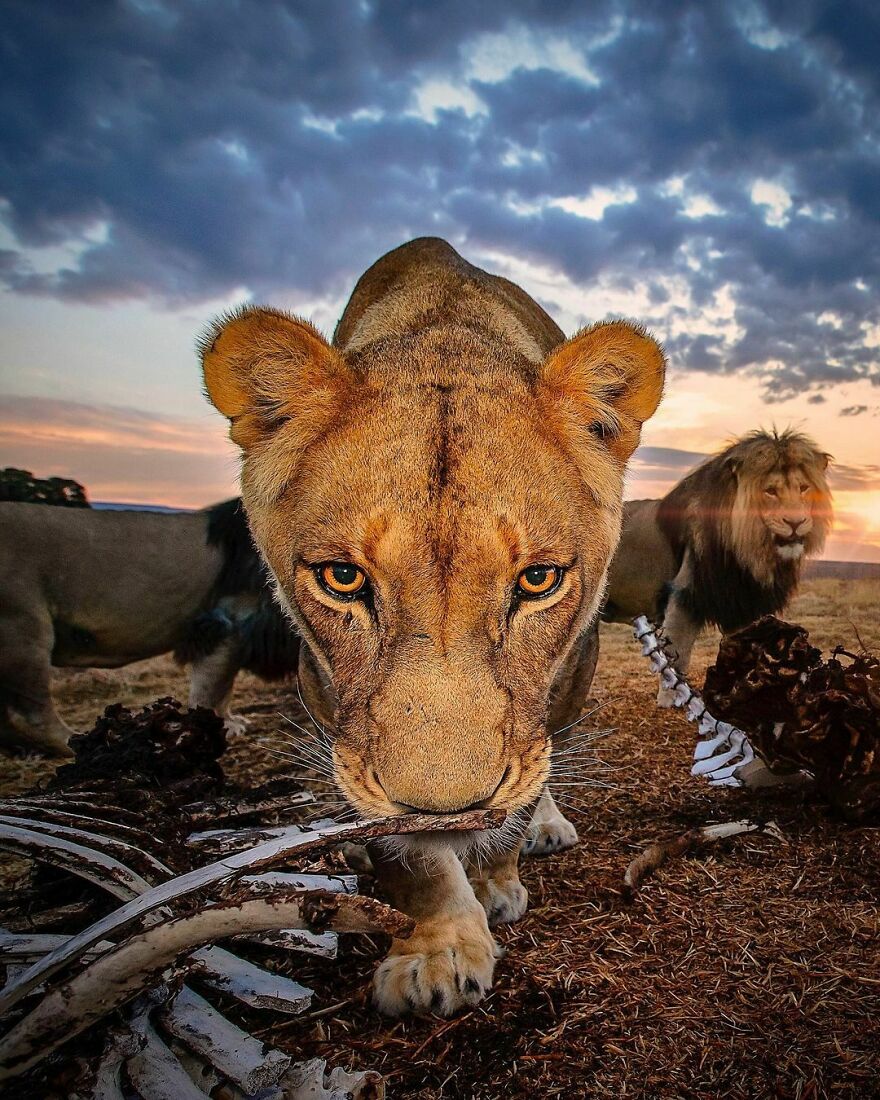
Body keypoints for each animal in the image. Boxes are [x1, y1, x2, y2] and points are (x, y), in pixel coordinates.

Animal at [0, 498, 298, 757]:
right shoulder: (225, 622)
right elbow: (214, 686)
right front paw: (220, 725)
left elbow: (221, 686)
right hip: (23, 628)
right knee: (30, 713)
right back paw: (75, 743)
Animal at [201, 236, 665, 1016]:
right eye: (342, 577)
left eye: (538, 581)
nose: (448, 811)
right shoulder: (329, 699)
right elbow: (407, 852)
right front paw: (436, 949)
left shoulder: (567, 674)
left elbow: (524, 788)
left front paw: (497, 880)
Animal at [603, 428, 833, 705]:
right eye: (770, 491)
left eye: (803, 488)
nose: (796, 522)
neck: (751, 553)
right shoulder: (685, 596)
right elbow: (676, 653)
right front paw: (672, 701)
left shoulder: (742, 605)